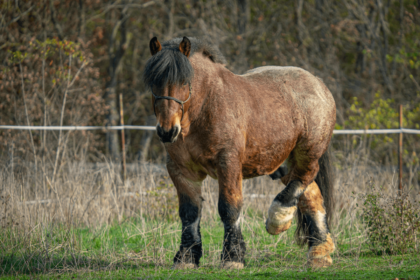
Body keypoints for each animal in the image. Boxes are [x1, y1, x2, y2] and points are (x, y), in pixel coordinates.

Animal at [143, 36, 336, 270]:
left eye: (184, 82)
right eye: (154, 81)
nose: (167, 131)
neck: (206, 107)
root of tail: (318, 83)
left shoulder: (228, 163)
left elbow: (229, 208)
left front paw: (232, 257)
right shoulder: (182, 170)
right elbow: (189, 212)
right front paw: (186, 257)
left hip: (307, 152)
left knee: (305, 177)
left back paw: (278, 219)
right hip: (283, 163)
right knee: (310, 194)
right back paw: (319, 252)